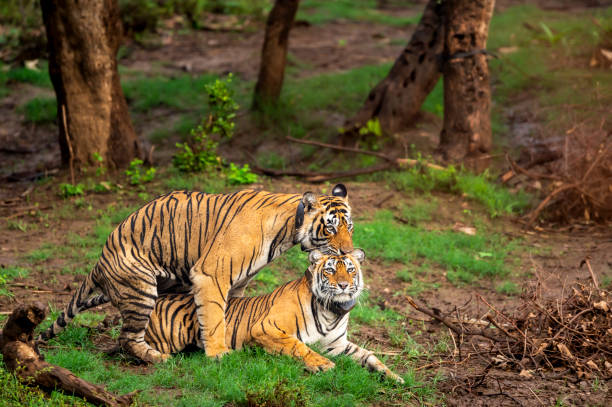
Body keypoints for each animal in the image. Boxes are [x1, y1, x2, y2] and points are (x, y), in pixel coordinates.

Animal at [39, 186, 354, 364]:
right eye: (330, 227)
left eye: (349, 226)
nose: (348, 251)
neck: (289, 230)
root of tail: (99, 261)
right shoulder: (211, 273)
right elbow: (214, 317)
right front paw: (218, 354)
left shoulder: (238, 281)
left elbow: (229, 314)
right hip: (142, 290)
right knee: (128, 337)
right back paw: (158, 358)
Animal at [142, 250, 404, 384]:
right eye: (330, 270)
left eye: (350, 269)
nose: (343, 285)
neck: (332, 311)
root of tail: (161, 298)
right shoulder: (266, 327)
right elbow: (299, 346)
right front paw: (321, 365)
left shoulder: (336, 345)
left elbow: (369, 356)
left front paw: (394, 377)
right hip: (171, 338)